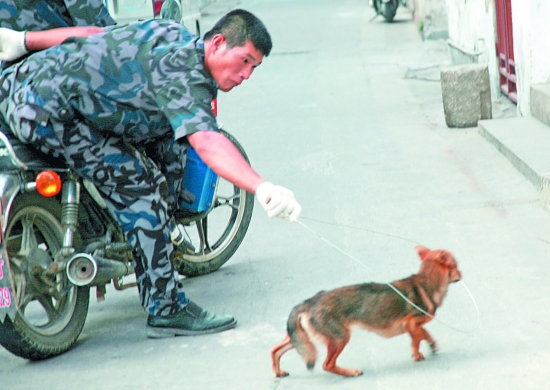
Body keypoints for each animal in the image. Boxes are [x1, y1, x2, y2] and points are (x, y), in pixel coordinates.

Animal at [270, 245, 462, 376]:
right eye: (456, 265)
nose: (462, 275)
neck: (427, 281)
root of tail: (309, 302)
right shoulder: (410, 323)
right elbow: (420, 335)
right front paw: (420, 352)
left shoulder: (412, 326)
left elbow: (423, 334)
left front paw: (428, 346)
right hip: (340, 338)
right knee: (327, 365)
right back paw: (350, 372)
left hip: (300, 338)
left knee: (275, 350)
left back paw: (278, 372)